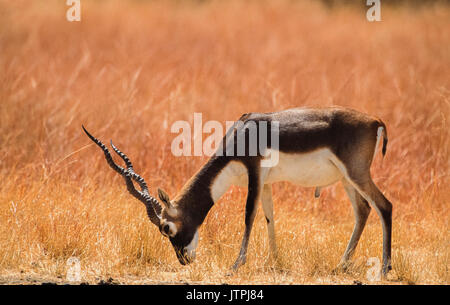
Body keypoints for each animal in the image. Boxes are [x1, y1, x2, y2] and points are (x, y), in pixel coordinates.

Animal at [82, 107, 392, 276]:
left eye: (167, 228)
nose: (184, 260)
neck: (240, 135)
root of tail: (376, 120)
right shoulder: (266, 182)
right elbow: (269, 218)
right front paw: (274, 262)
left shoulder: (255, 173)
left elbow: (249, 216)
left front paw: (235, 265)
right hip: (346, 179)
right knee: (364, 211)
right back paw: (341, 266)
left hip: (356, 174)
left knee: (384, 206)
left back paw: (385, 268)